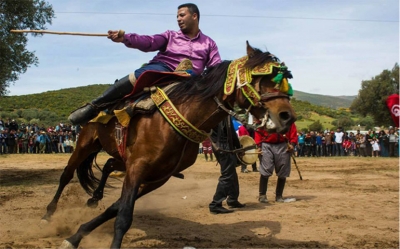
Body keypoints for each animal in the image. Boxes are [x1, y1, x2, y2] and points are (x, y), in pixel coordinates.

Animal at [52, 41, 296, 248]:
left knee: (109, 165)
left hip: (119, 156)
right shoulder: (138, 167)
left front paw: (77, 235)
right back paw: (49, 213)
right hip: (86, 142)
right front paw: (76, 237)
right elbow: (123, 215)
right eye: (259, 79)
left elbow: (117, 207)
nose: (287, 117)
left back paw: (94, 197)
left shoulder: (157, 176)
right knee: (66, 174)